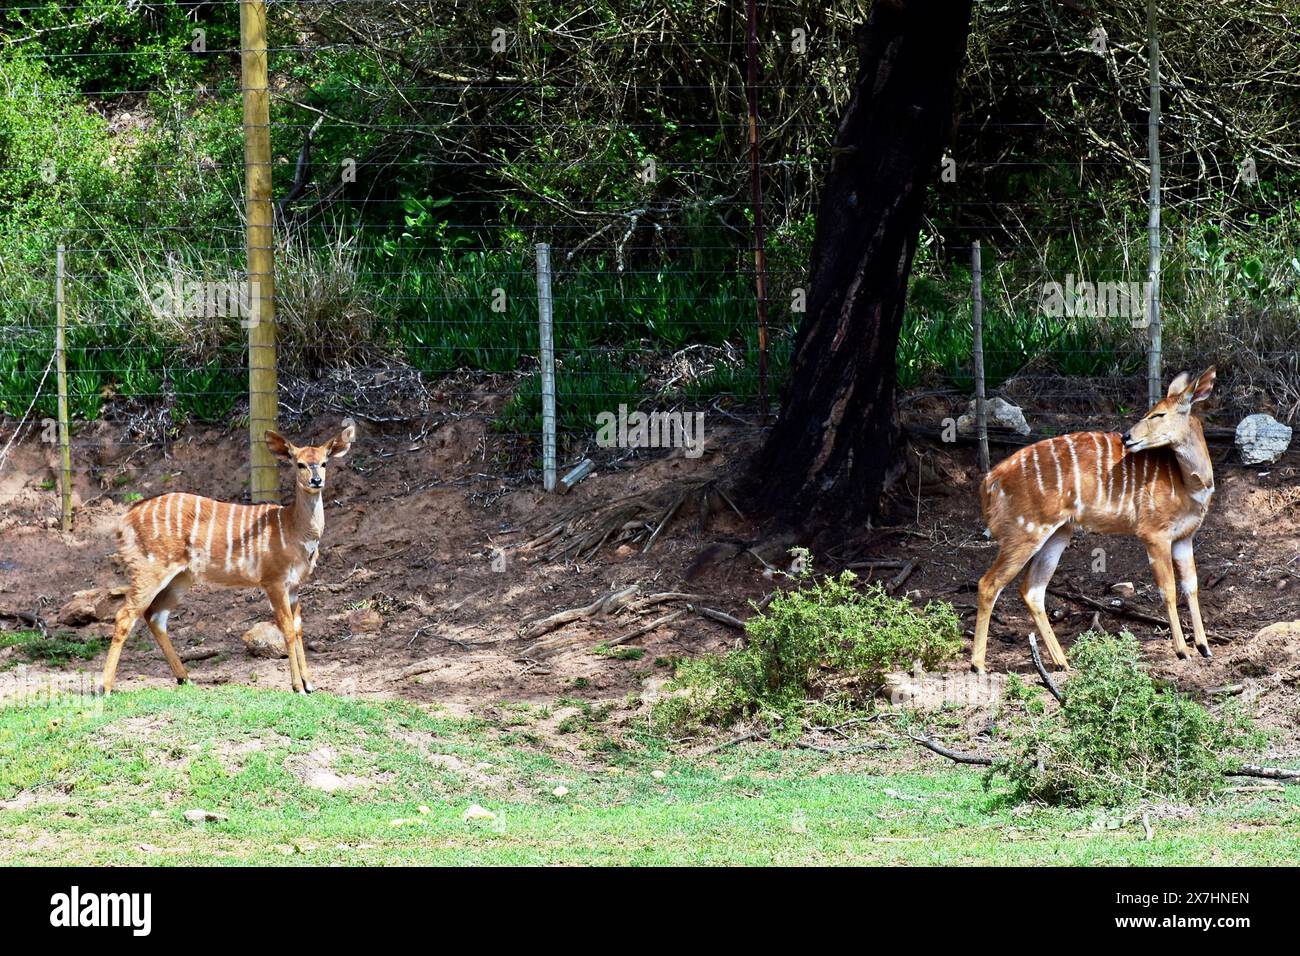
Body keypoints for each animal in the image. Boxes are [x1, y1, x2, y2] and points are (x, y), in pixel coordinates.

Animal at [102, 421, 356, 697]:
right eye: (299, 463)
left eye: (324, 462)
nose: (316, 480)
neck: (293, 530)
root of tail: (125, 521)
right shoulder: (273, 580)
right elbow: (287, 629)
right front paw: (298, 687)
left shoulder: (294, 586)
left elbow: (299, 628)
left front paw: (310, 684)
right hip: (149, 569)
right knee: (125, 616)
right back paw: (105, 687)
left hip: (182, 577)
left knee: (155, 616)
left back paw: (185, 678)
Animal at [977, 366, 1216, 671]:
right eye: (1151, 411)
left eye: (1159, 414)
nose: (1127, 436)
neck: (1189, 485)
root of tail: (990, 481)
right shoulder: (1154, 533)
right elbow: (1169, 590)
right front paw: (1182, 651)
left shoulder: (1184, 537)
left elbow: (1192, 587)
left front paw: (1204, 647)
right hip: (1025, 532)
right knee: (989, 584)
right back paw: (978, 665)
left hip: (1058, 533)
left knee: (1032, 590)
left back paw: (1062, 662)